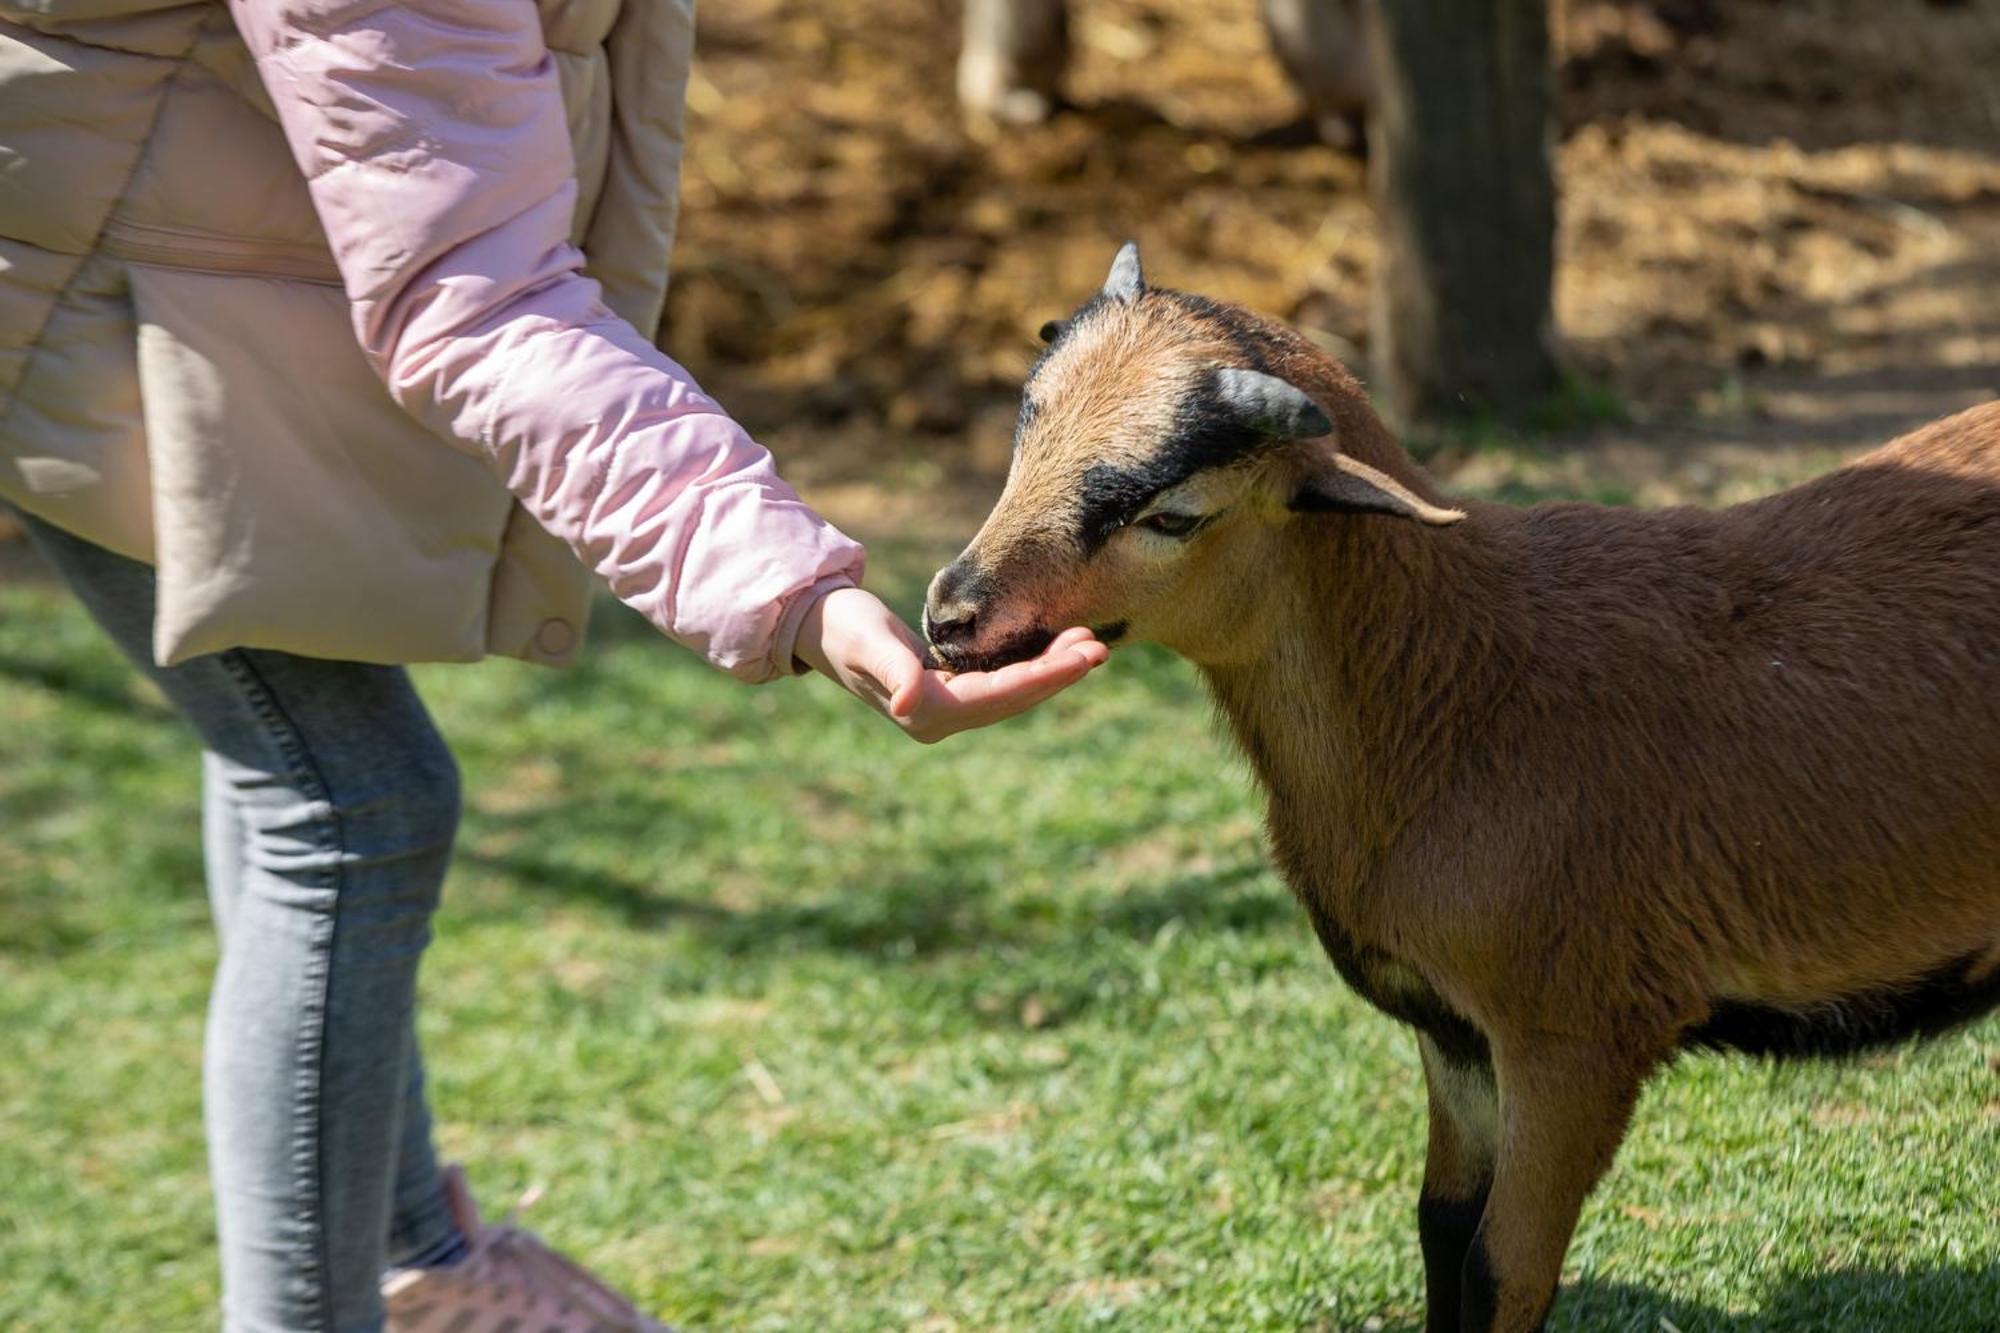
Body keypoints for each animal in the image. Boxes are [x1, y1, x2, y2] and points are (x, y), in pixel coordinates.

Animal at [924, 244, 2000, 1320]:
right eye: (1026, 435)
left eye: (1172, 515)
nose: (950, 617)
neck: (1457, 692)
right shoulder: (1454, 1036)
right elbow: (1440, 1227)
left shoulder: (1577, 1032)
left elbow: (1501, 1266)